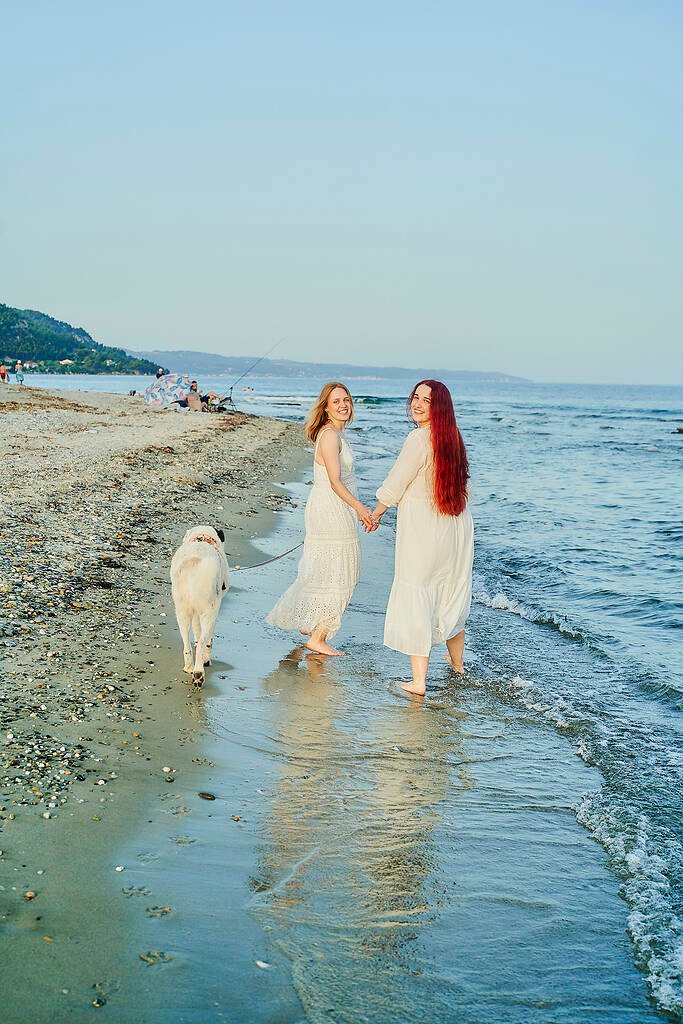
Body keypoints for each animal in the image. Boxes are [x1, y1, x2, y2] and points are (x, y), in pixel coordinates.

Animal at [171, 524, 229, 684]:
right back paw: (199, 671)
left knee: (186, 642)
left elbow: (196, 631)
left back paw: (189, 667)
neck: (203, 539)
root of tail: (195, 561)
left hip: (182, 611)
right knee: (204, 642)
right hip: (210, 612)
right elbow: (205, 638)